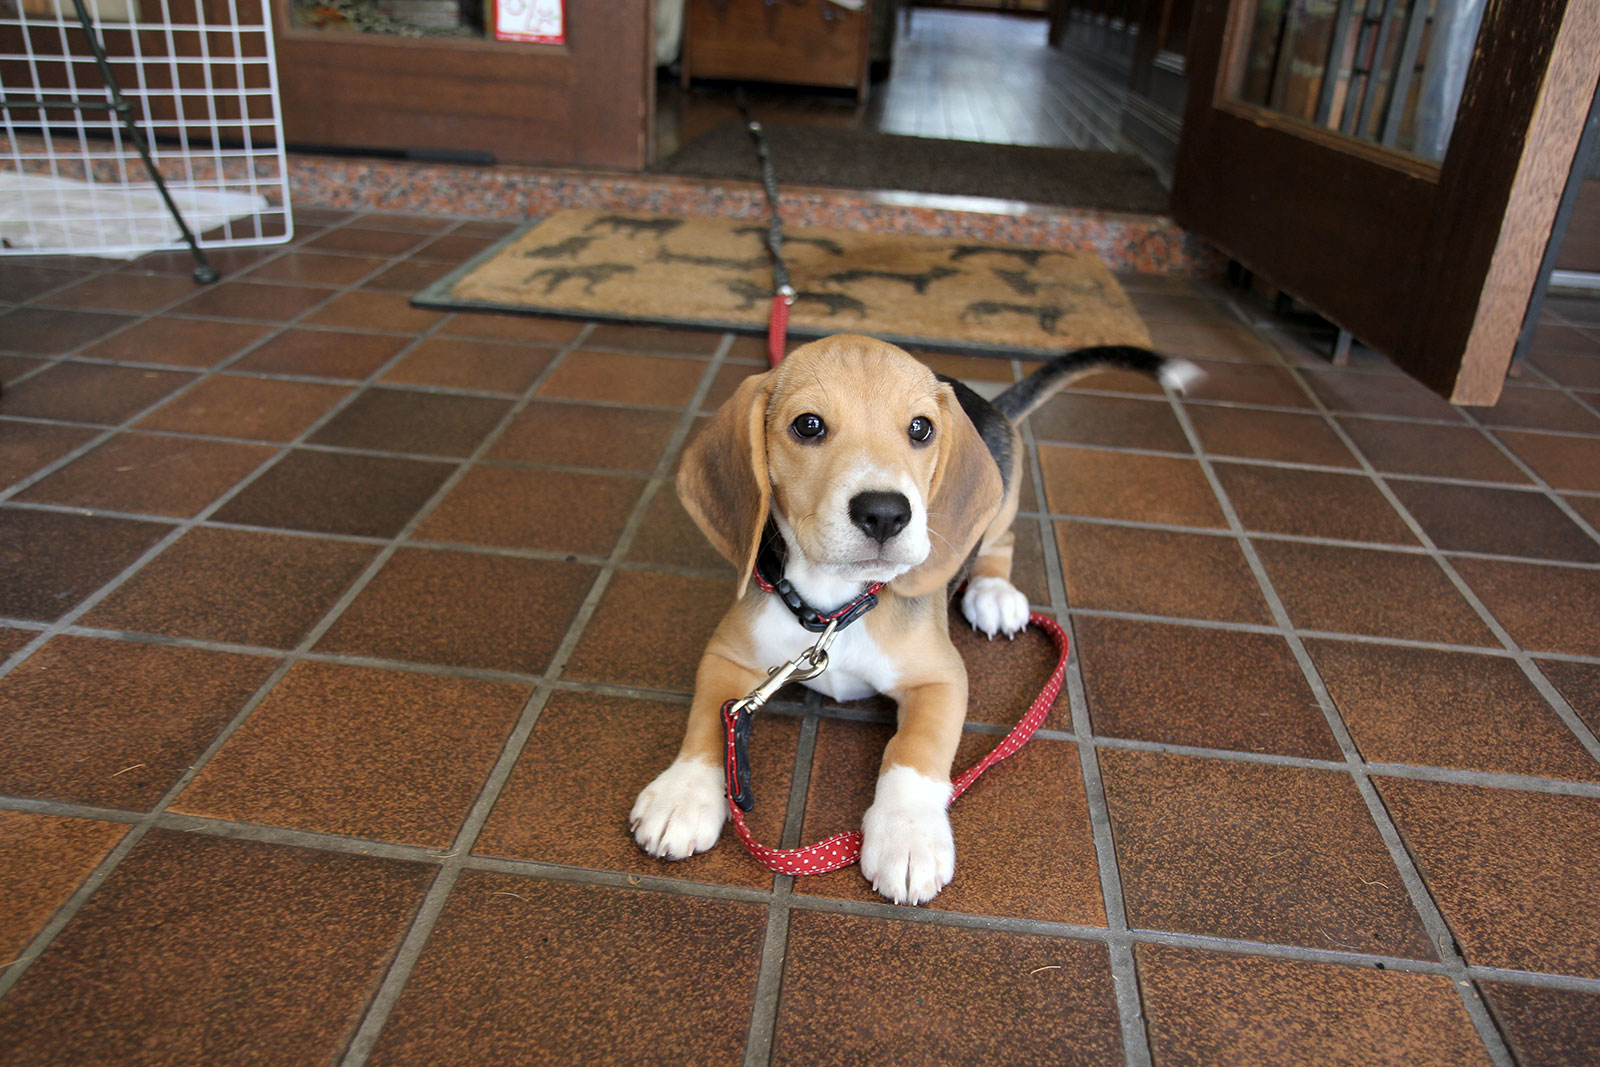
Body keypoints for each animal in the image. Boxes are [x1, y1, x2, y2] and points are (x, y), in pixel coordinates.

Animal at [630, 334, 1196, 902]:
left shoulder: (941, 678)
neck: (835, 610)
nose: (884, 513)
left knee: (1003, 539)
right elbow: (710, 719)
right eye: (808, 425)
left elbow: (913, 751)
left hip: (1003, 503)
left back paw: (993, 593)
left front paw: (907, 835)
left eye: (920, 428)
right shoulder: (727, 656)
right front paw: (682, 795)